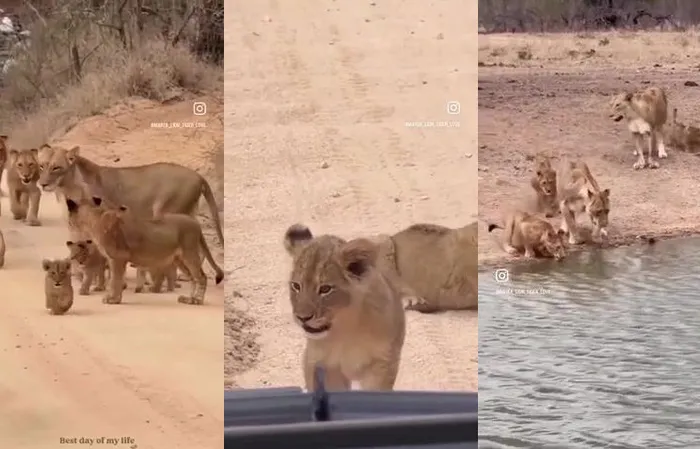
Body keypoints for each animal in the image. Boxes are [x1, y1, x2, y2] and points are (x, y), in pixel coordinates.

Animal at [66, 196, 224, 305]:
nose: (69, 223)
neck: (93, 219)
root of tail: (196, 223)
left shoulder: (118, 257)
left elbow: (115, 279)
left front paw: (112, 299)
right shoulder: (114, 259)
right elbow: (116, 279)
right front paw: (116, 297)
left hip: (189, 254)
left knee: (201, 277)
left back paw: (197, 300)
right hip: (180, 259)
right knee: (193, 278)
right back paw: (189, 299)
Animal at [283, 224, 406, 392]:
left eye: (325, 289)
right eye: (296, 286)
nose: (302, 318)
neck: (346, 329)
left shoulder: (383, 363)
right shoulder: (322, 365)